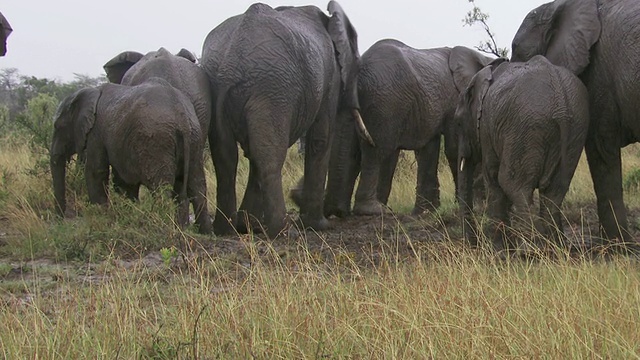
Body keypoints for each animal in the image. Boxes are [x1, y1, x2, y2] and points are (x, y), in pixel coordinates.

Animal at [50, 77, 214, 233]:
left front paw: (100, 218)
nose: (59, 220)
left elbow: (96, 172)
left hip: (157, 141)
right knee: (197, 185)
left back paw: (162, 227)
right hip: (194, 139)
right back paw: (203, 231)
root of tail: (182, 117)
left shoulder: (96, 133)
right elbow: (124, 181)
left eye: (58, 127)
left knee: (161, 188)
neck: (89, 92)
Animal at [199, 1, 370, 239]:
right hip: (273, 89)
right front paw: (318, 226)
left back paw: (228, 230)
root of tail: (230, 63)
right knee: (269, 156)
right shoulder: (331, 78)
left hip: (221, 87)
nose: (295, 194)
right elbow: (320, 140)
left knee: (226, 157)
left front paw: (248, 226)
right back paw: (283, 232)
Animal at [320, 40, 496, 218]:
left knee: (355, 153)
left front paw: (425, 212)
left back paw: (340, 211)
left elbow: (428, 149)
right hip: (384, 102)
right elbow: (453, 149)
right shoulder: (456, 101)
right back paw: (373, 210)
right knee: (376, 151)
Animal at [456, 56, 592, 252]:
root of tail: (560, 102)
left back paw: (531, 251)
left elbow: (494, 180)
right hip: (576, 127)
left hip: (526, 127)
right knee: (555, 192)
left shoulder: (488, 129)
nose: (473, 245)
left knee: (513, 185)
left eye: (458, 123)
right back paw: (555, 250)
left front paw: (499, 251)